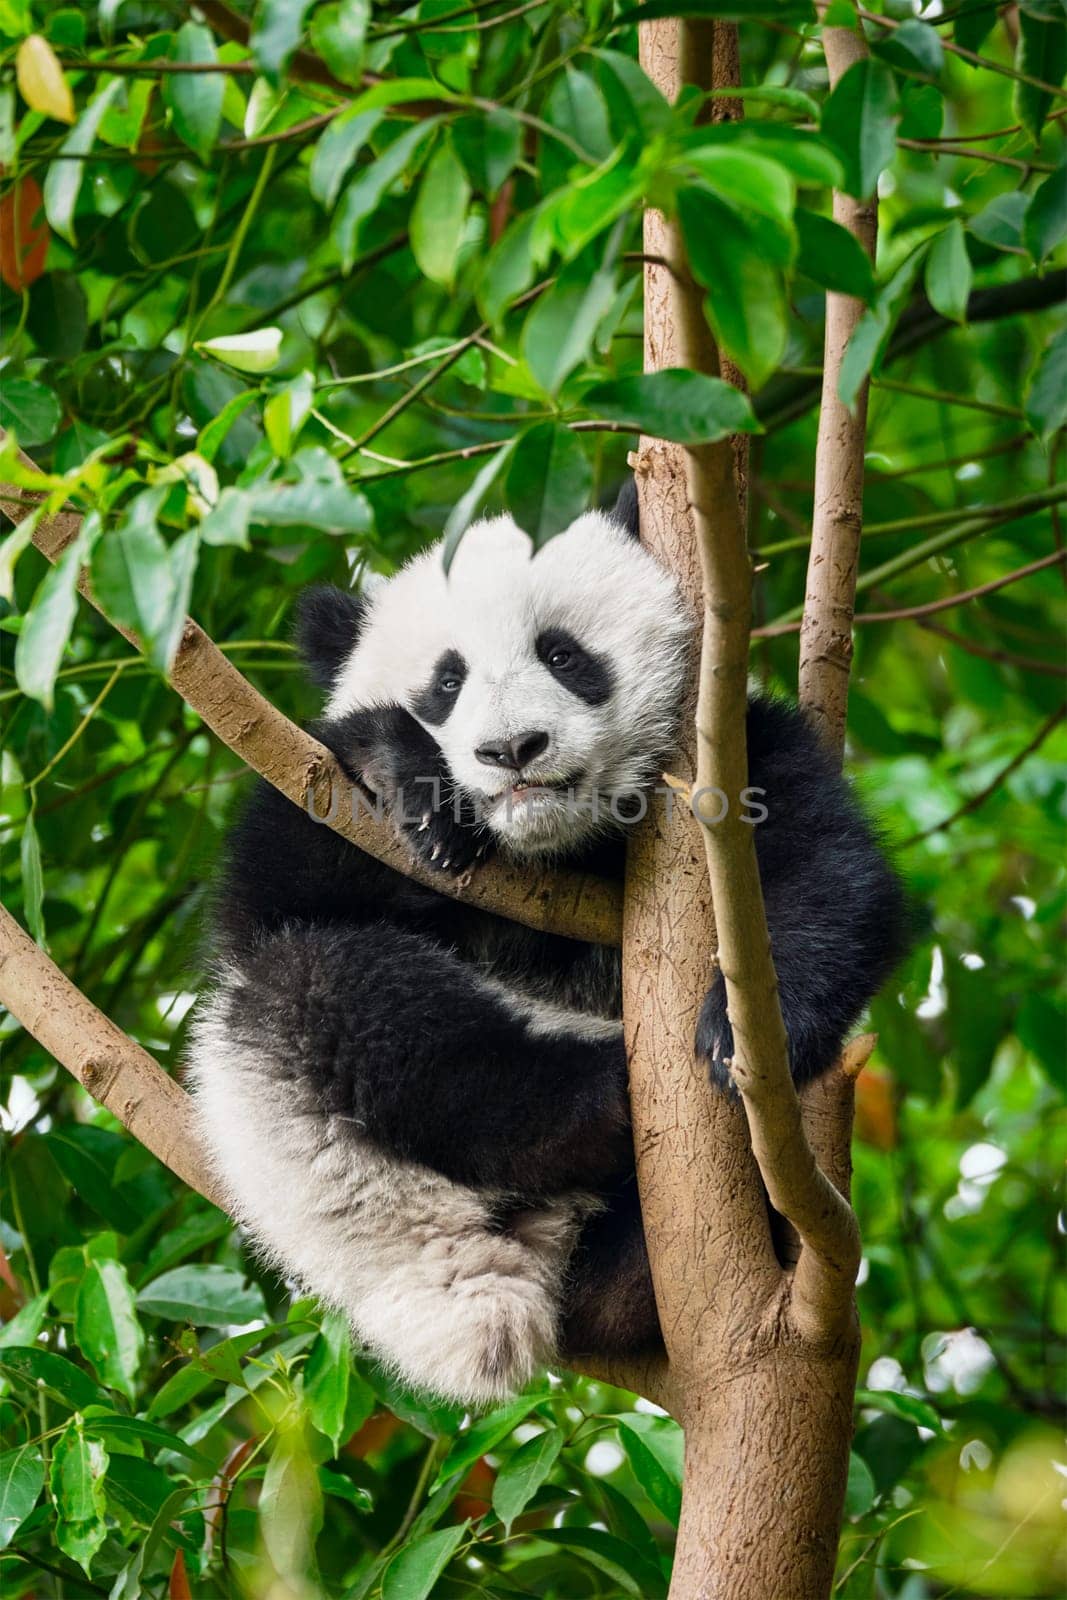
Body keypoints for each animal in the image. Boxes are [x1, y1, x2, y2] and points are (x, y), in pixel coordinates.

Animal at [185, 486, 908, 1401]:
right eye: (446, 681)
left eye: (562, 654)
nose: (511, 750)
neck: (553, 847)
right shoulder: (297, 802)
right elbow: (282, 884)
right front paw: (409, 776)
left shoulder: (732, 751)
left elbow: (827, 874)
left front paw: (742, 1036)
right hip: (293, 1128)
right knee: (353, 1003)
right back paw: (595, 1096)